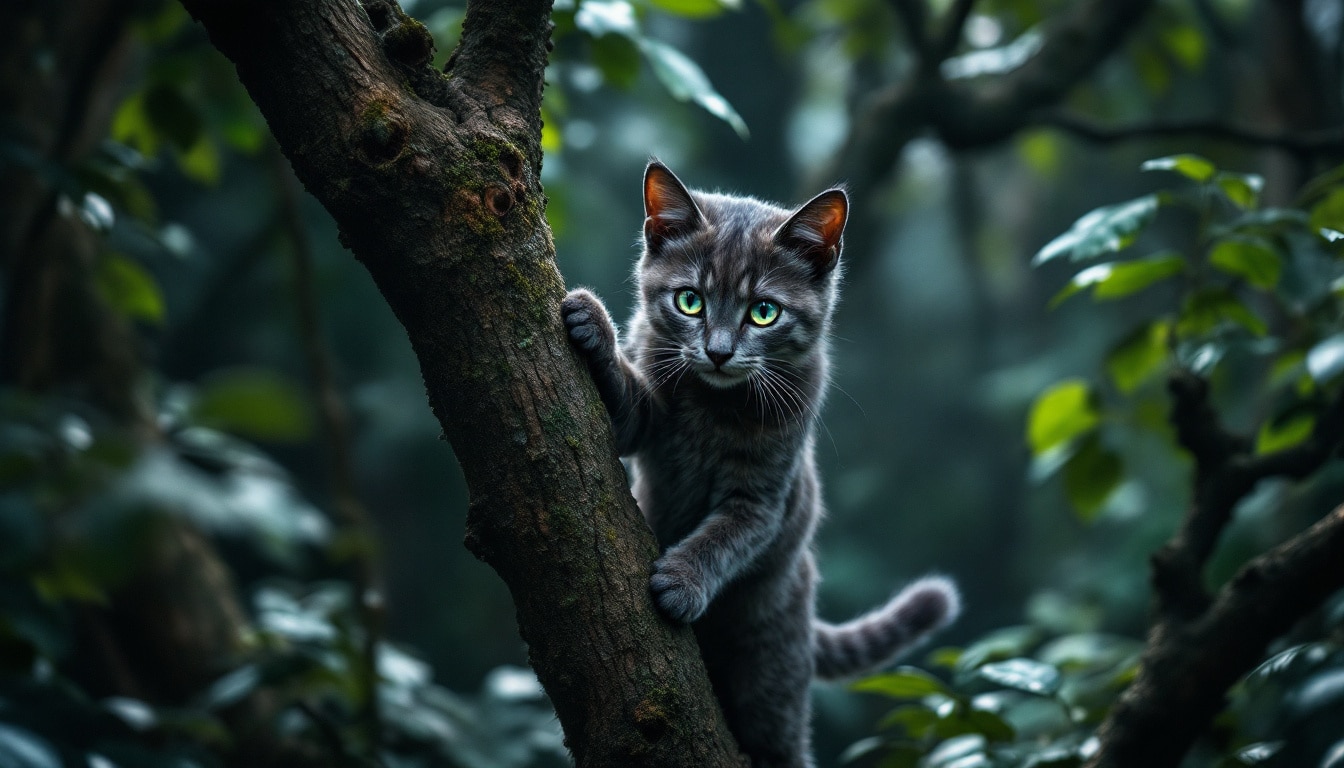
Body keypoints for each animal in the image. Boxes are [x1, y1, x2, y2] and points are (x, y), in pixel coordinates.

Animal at [561, 164, 962, 768]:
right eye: (690, 301)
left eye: (764, 312)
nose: (719, 351)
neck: (714, 406)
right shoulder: (647, 424)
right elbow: (628, 408)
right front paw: (592, 324)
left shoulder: (766, 495)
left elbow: (727, 535)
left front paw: (681, 581)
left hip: (770, 677)